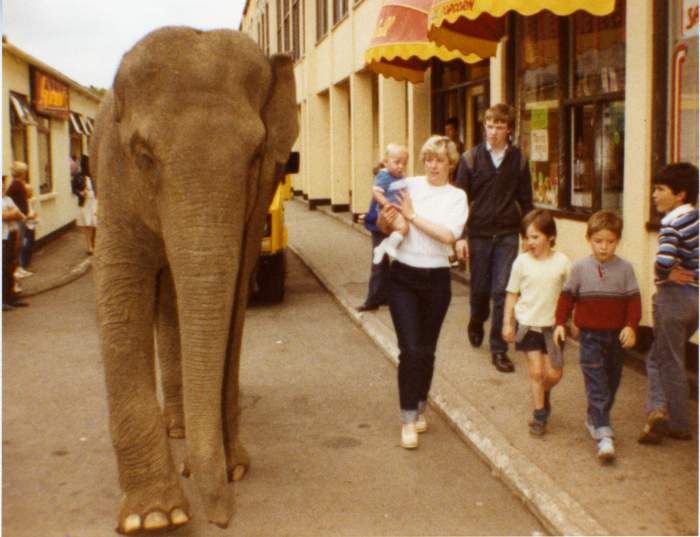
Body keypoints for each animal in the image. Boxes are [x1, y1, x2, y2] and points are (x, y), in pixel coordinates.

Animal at [90, 28, 298, 532]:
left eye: (255, 156)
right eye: (144, 156)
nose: (223, 518)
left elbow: (234, 298)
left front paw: (232, 467)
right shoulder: (114, 179)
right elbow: (118, 296)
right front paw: (154, 517)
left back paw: (182, 427)